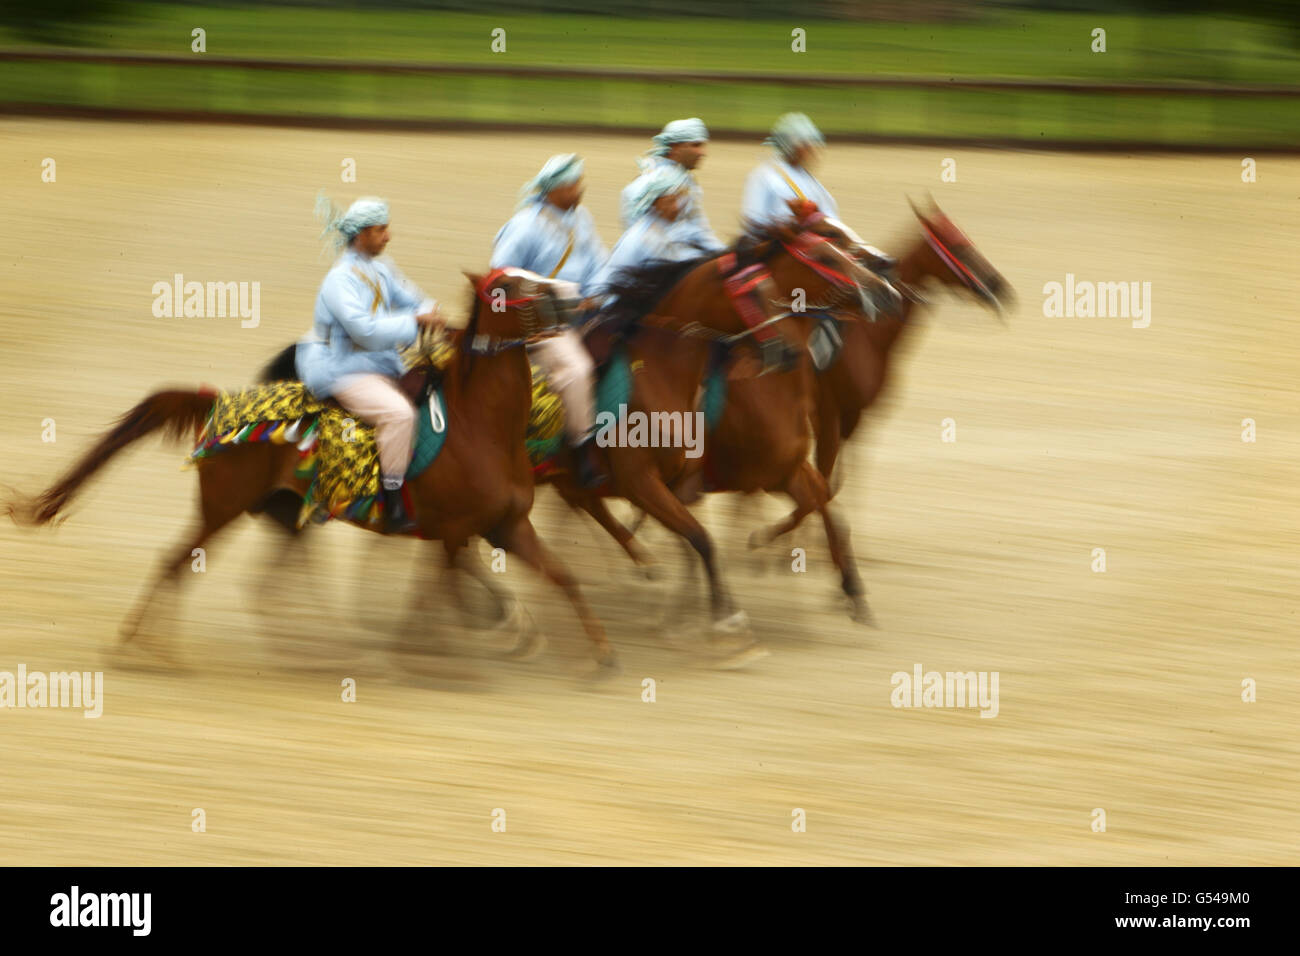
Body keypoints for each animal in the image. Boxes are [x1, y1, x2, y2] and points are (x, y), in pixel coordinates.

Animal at [6, 269, 618, 671]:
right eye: (510, 286)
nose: (571, 298)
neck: (480, 427)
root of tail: (216, 402)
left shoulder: (504, 526)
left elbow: (560, 575)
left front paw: (600, 652)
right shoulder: (454, 531)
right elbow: (439, 594)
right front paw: (436, 649)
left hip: (280, 513)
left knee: (262, 585)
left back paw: (312, 646)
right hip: (224, 508)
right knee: (176, 562)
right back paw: (147, 646)